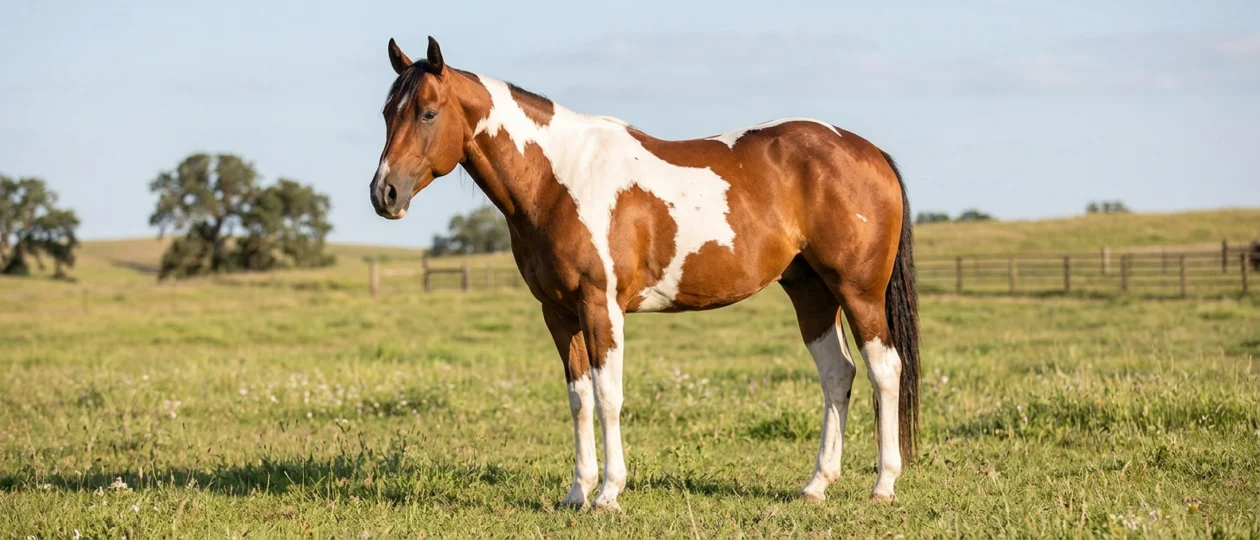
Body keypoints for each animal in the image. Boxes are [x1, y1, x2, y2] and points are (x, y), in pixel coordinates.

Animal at [369, 36, 921, 512]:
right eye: (386, 113)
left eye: (428, 112)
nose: (384, 194)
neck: (559, 179)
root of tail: (869, 152)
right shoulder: (558, 313)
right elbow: (579, 399)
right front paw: (577, 492)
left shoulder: (602, 307)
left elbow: (608, 395)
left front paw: (609, 494)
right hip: (812, 293)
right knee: (837, 374)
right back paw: (815, 486)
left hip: (859, 292)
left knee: (884, 371)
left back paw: (883, 485)